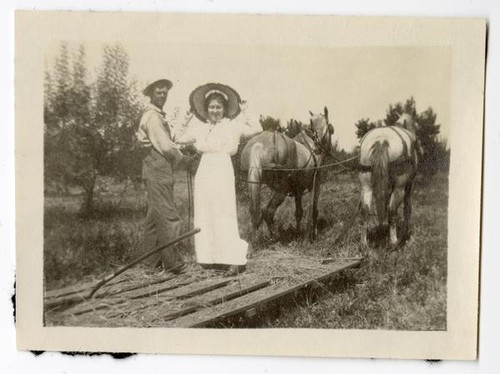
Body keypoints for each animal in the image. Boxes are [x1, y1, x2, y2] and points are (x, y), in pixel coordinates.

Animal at [240, 106, 334, 241]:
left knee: (258, 212)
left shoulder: (298, 189)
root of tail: (259, 144)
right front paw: (312, 233)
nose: (329, 149)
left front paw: (298, 233)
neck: (313, 144)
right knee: (268, 211)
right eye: (331, 129)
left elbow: (299, 212)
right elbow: (313, 210)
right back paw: (275, 236)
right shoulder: (315, 184)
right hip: (281, 189)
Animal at [360, 113, 422, 248]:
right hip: (399, 188)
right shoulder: (409, 186)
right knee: (392, 210)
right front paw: (407, 234)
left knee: (366, 210)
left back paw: (365, 242)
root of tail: (381, 140)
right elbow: (407, 208)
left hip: (366, 186)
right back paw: (394, 241)